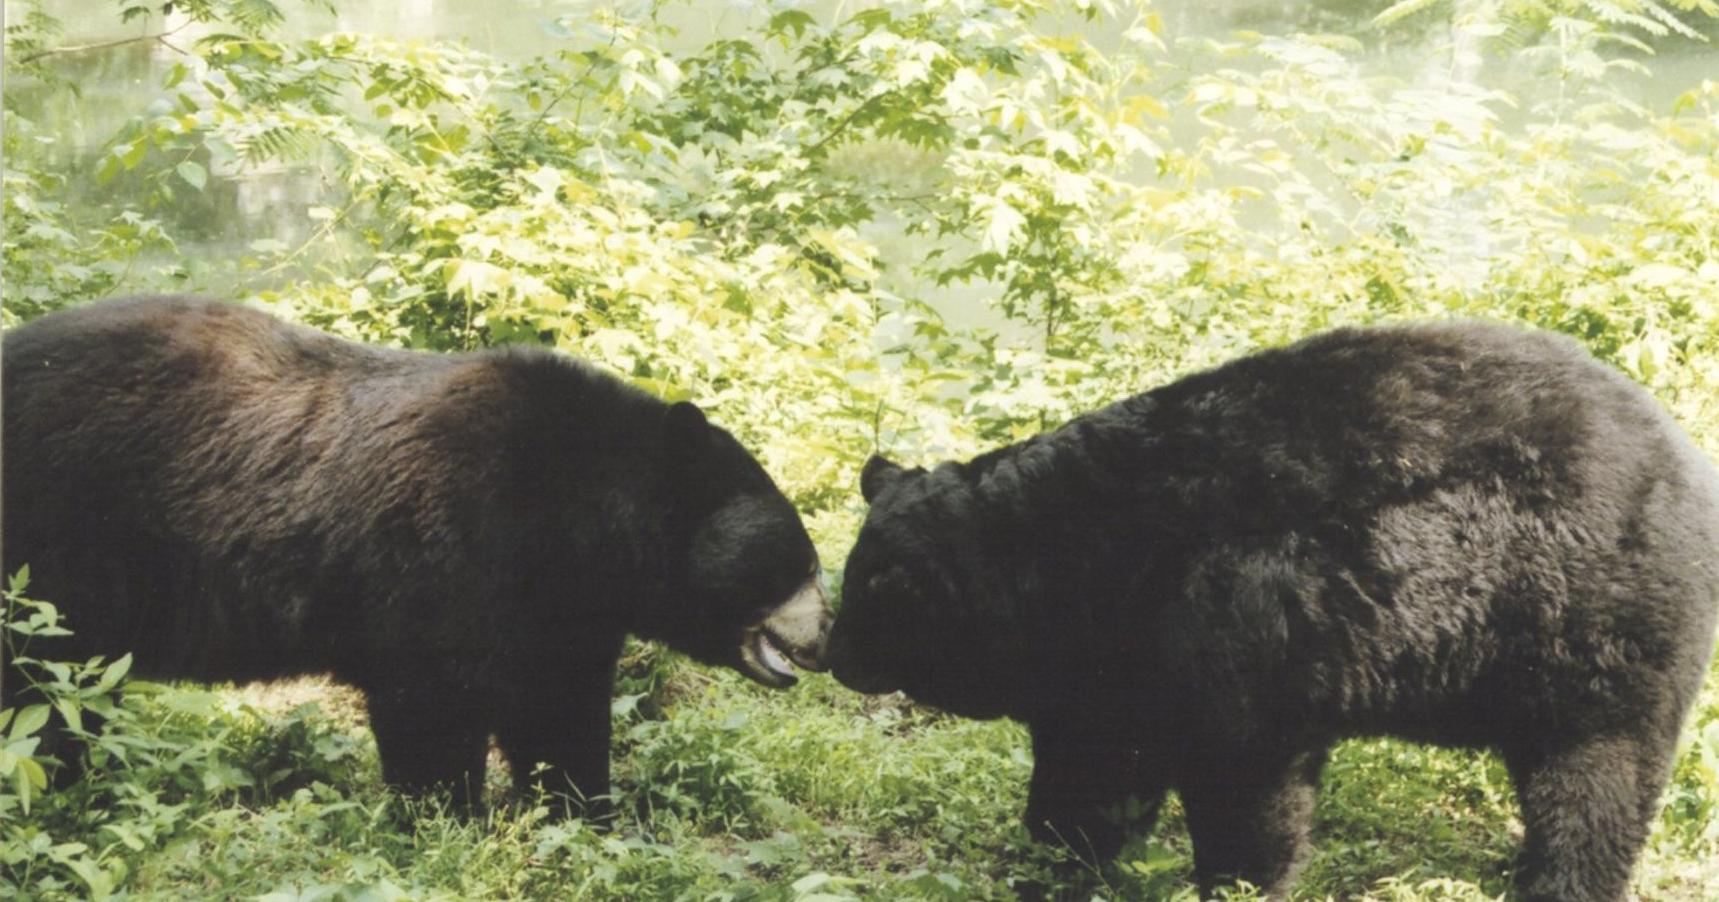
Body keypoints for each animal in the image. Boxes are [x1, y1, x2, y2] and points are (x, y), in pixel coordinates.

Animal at [2, 294, 832, 816]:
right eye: (802, 561)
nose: (828, 634)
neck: (580, 511)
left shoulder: (558, 603)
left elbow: (557, 705)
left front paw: (583, 814)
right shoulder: (448, 549)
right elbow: (432, 702)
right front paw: (445, 818)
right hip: (56, 541)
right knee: (37, 686)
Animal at [825, 321, 1719, 901]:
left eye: (868, 602)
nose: (828, 657)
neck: (1085, 561)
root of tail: (1685, 458)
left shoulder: (1231, 622)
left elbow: (1243, 772)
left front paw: (1237, 880)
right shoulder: (1114, 665)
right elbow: (1095, 766)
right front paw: (1055, 857)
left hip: (1584, 615)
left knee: (1593, 770)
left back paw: (1558, 878)